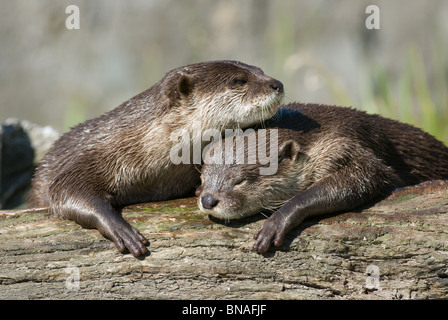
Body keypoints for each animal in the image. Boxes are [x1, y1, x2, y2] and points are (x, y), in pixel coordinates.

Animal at [28, 60, 284, 258]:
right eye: (239, 81)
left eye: (260, 69)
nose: (278, 83)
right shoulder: (96, 156)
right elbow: (64, 188)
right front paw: (121, 229)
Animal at [198, 102, 448, 252]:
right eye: (203, 178)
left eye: (240, 180)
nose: (208, 200)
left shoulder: (341, 143)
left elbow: (368, 174)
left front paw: (277, 222)